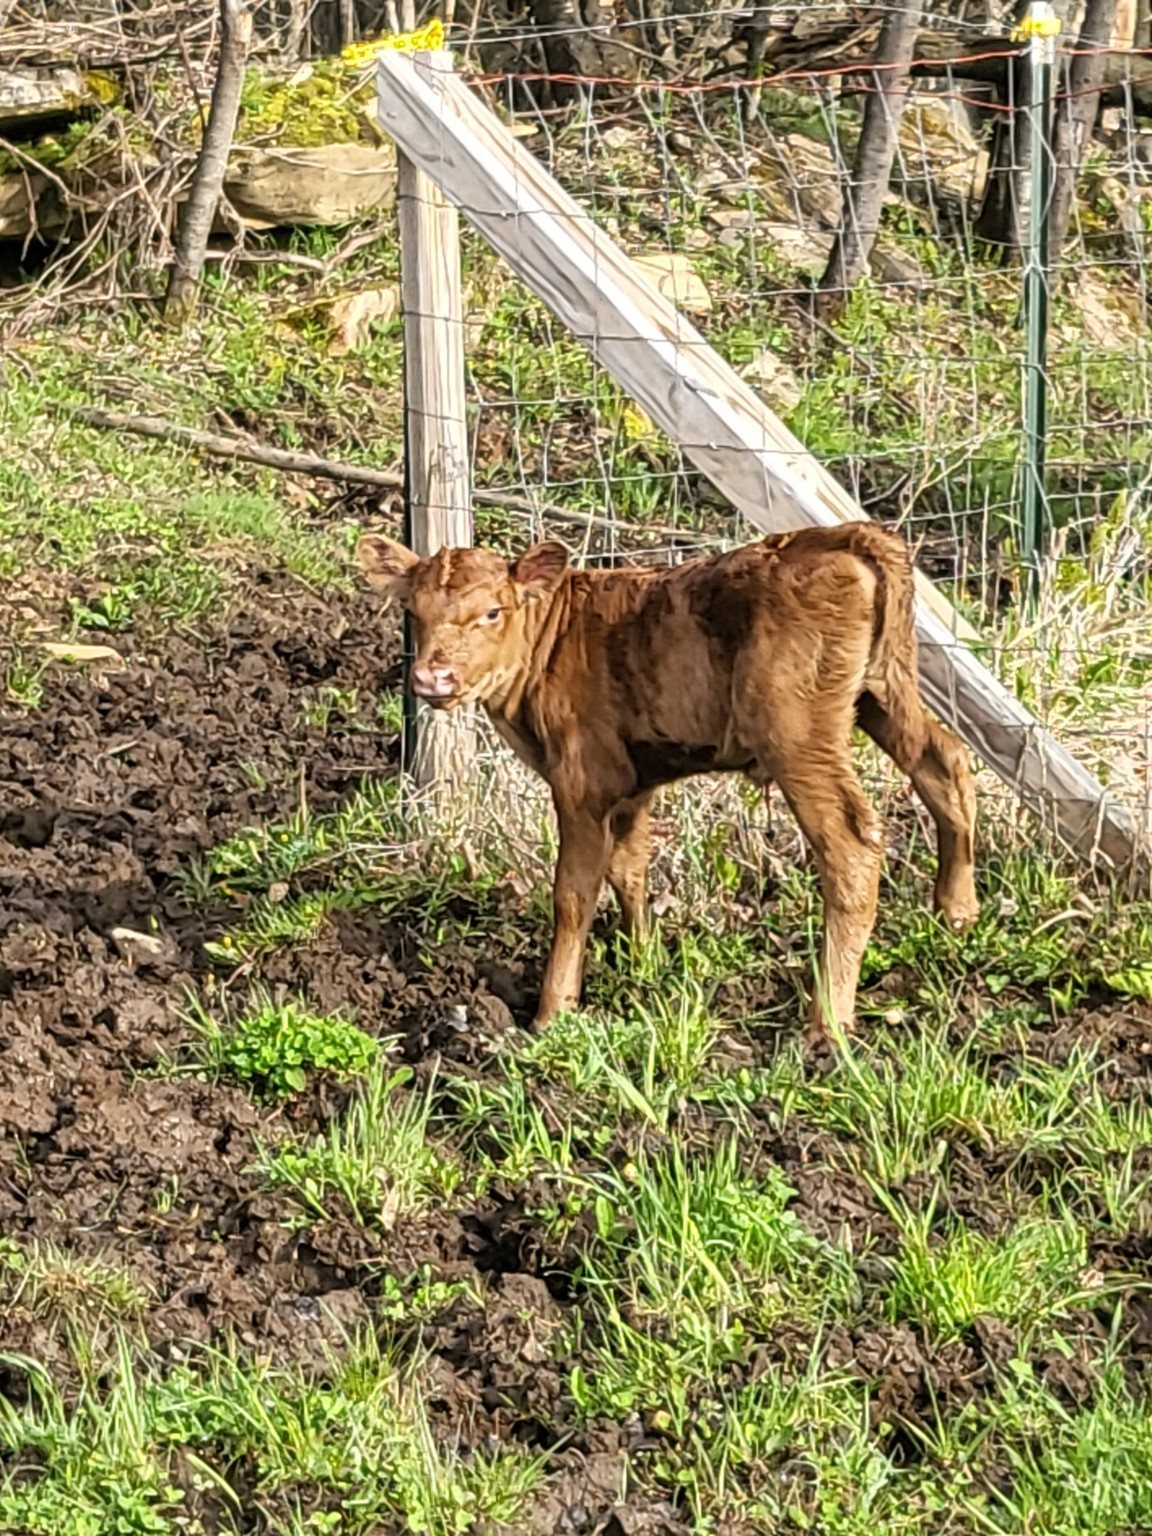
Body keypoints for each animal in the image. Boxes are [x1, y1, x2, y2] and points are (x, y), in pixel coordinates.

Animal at [358, 524, 978, 1040]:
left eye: (491, 612)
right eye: (413, 610)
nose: (432, 677)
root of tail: (845, 534)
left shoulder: (581, 780)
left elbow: (573, 894)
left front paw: (552, 1012)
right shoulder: (635, 779)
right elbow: (628, 867)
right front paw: (644, 962)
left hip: (798, 732)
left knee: (850, 844)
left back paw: (828, 1021)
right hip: (883, 691)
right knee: (944, 760)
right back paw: (956, 913)